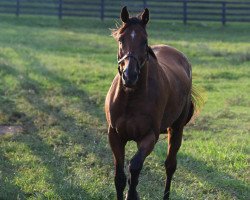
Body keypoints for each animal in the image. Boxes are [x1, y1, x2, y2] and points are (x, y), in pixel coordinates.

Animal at [105, 6, 201, 200]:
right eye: (121, 40)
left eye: (145, 41)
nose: (130, 76)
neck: (130, 99)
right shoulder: (115, 136)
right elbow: (120, 177)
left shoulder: (149, 136)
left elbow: (134, 166)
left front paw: (132, 195)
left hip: (176, 130)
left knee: (170, 166)